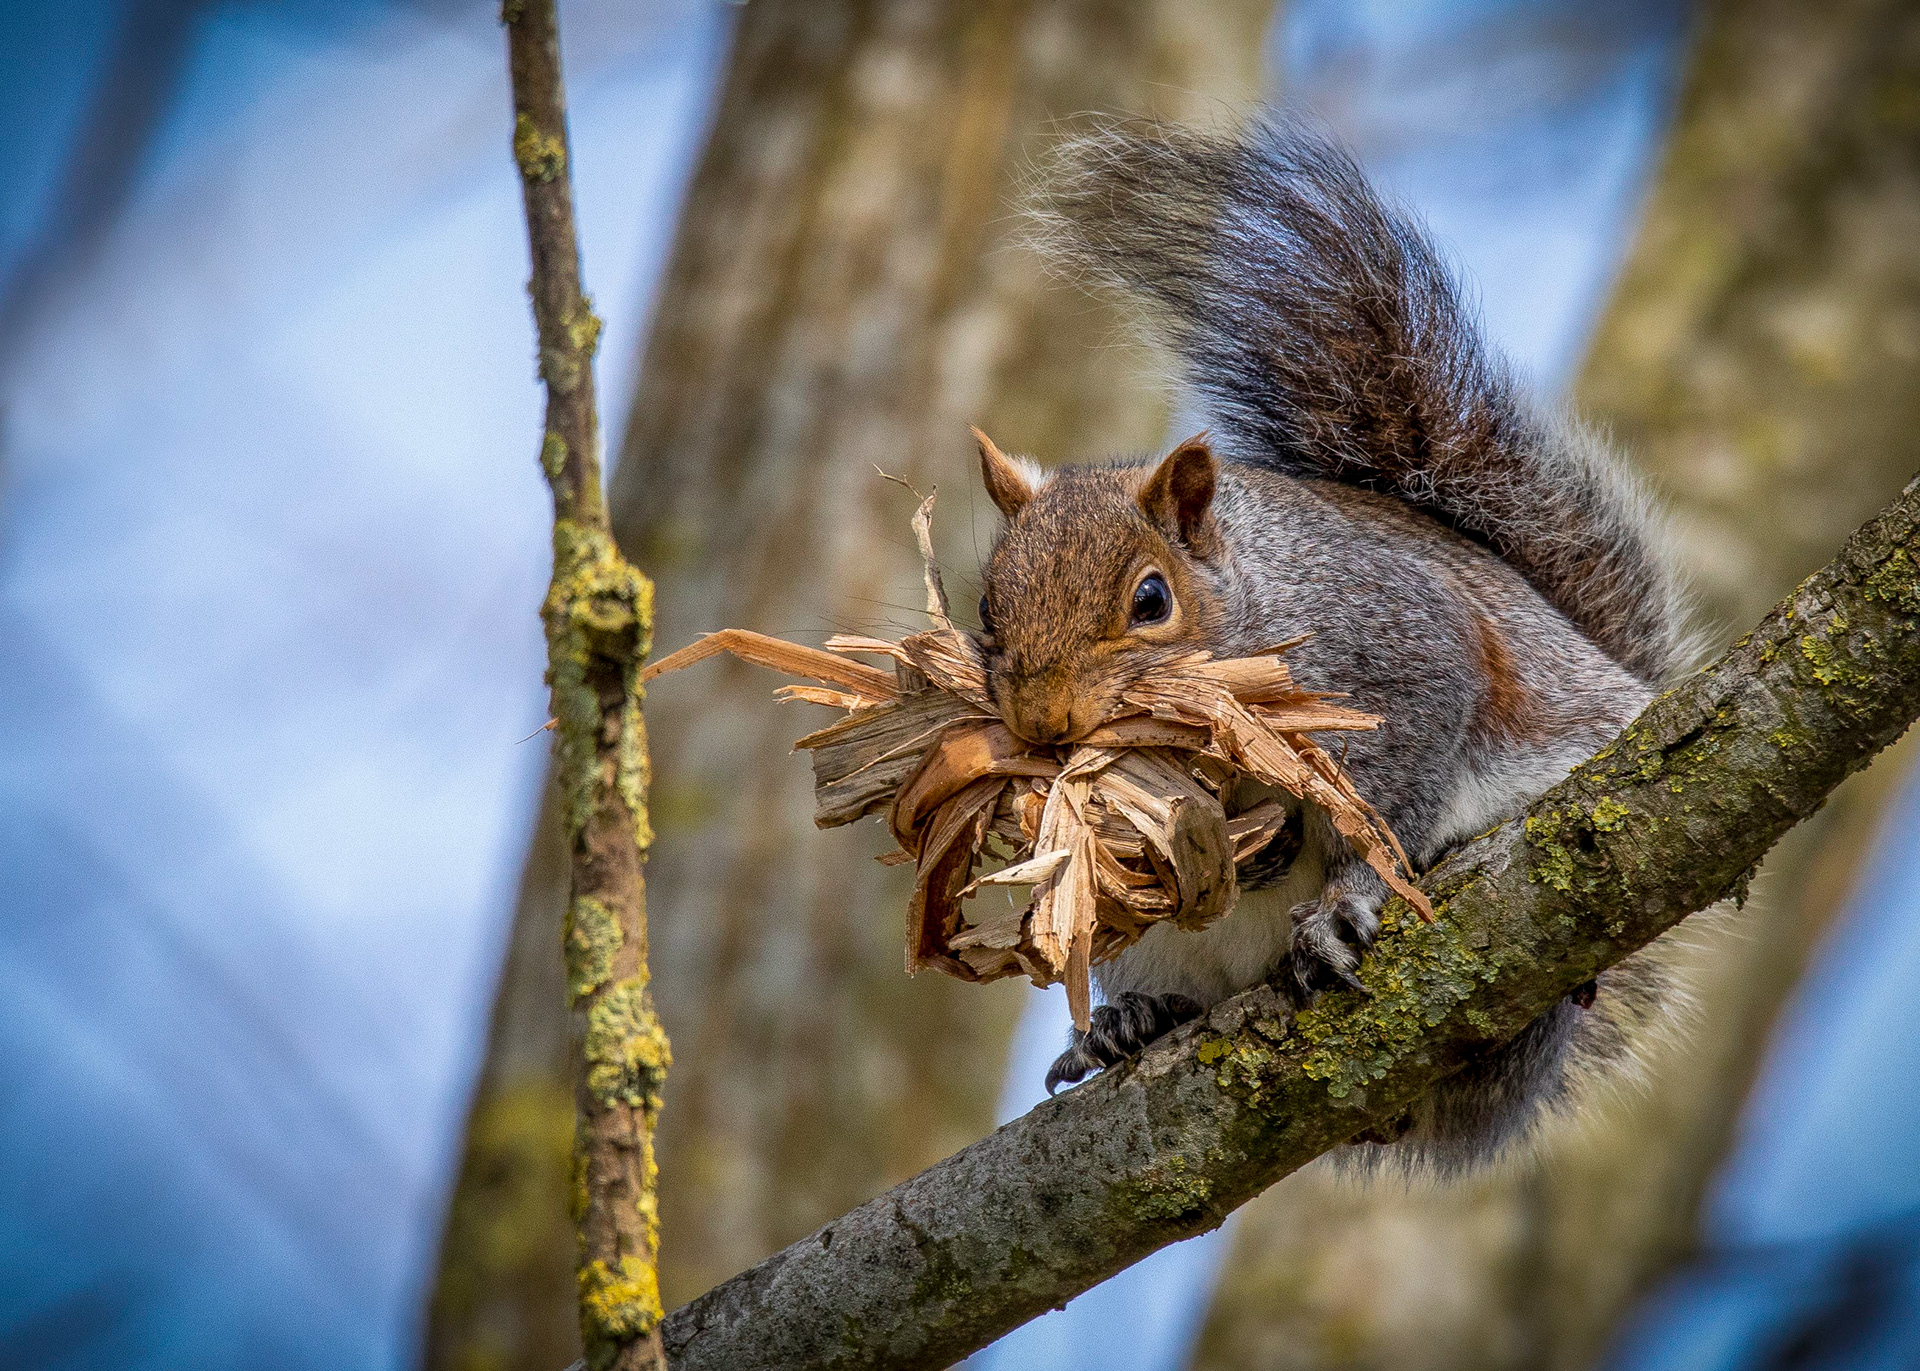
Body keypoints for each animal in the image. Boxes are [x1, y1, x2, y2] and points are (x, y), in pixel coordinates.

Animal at [971, 115, 1687, 1171]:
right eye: (986, 609)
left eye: (1152, 599)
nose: (1044, 725)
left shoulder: (1396, 649)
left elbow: (1388, 788)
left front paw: (1339, 895)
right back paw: (1129, 1019)